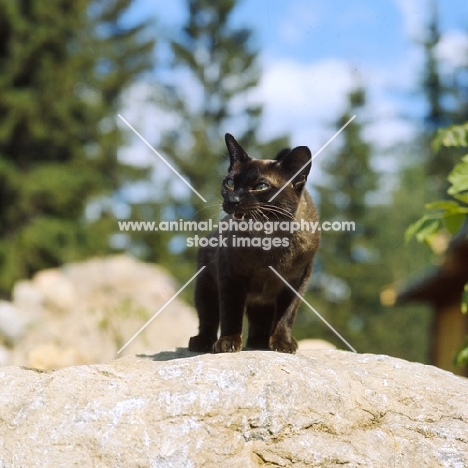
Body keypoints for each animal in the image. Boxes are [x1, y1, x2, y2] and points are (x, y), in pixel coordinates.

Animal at [188, 133, 320, 352]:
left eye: (261, 186)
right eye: (230, 182)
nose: (233, 199)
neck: (268, 239)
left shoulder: (297, 281)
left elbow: (286, 315)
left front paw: (283, 344)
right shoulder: (230, 276)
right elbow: (230, 313)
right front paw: (228, 342)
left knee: (261, 320)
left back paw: (261, 342)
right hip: (205, 286)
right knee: (208, 317)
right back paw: (202, 342)